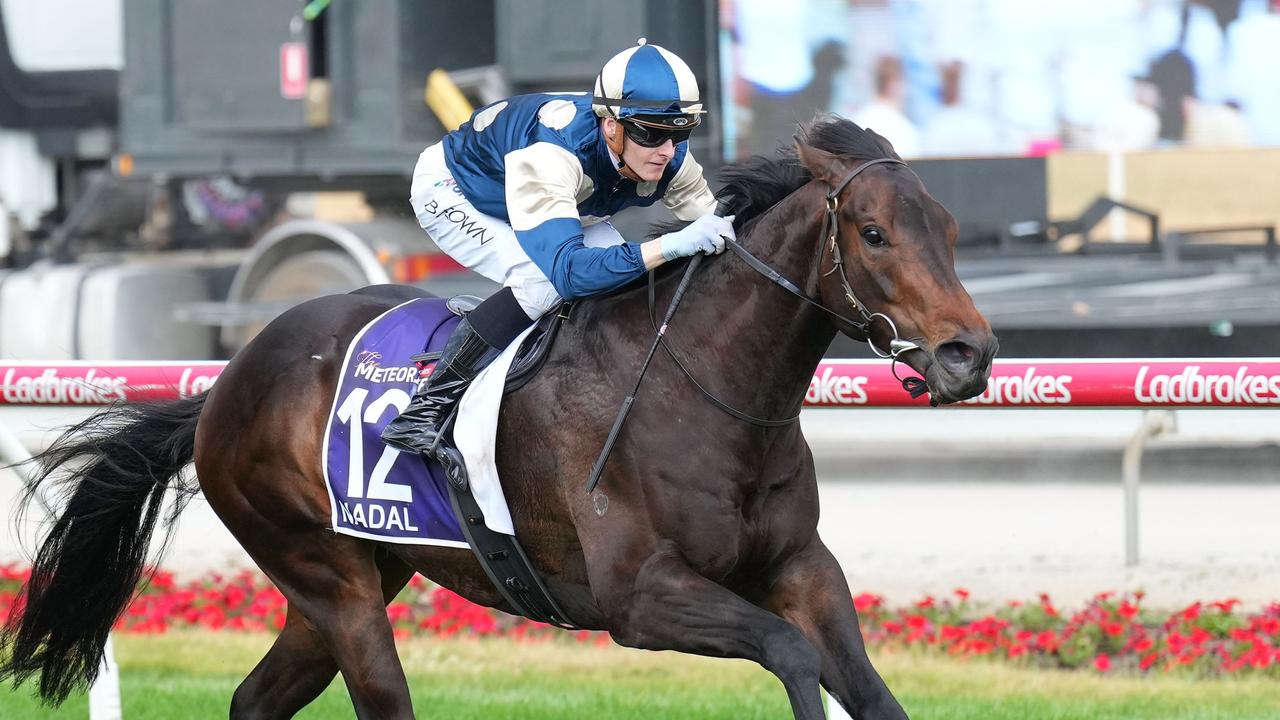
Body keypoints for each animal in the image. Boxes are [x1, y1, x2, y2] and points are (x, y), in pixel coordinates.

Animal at [2, 114, 998, 712]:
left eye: (950, 229)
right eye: (874, 233)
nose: (969, 354)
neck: (705, 387)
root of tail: (227, 383)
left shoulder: (800, 568)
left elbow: (867, 687)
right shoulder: (639, 597)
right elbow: (791, 657)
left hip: (351, 574)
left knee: (255, 698)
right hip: (330, 579)